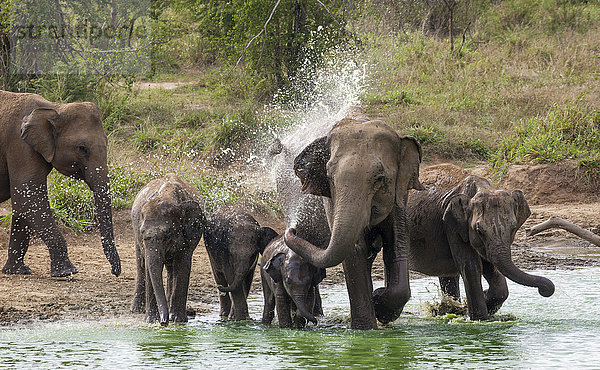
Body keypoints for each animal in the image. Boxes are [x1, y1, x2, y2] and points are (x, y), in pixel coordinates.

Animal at [0, 90, 120, 278]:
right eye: (82, 148)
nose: (115, 272)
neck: (54, 108)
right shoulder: (20, 145)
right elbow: (29, 197)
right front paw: (67, 272)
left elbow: (22, 203)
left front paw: (17, 271)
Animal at [131, 174, 206, 326]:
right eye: (142, 232)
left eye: (168, 234)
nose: (163, 322)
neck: (167, 195)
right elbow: (149, 268)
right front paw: (151, 320)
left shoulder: (190, 234)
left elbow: (183, 265)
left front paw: (178, 320)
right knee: (141, 265)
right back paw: (136, 310)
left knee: (172, 269)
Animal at [282, 118, 422, 330]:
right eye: (329, 177)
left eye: (380, 179)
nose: (292, 229)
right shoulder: (331, 200)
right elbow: (354, 251)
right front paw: (366, 329)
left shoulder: (400, 196)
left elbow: (397, 245)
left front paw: (379, 302)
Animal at [406, 175, 556, 320]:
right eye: (479, 231)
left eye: (513, 228)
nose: (544, 290)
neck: (483, 188)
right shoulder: (454, 228)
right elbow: (471, 266)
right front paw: (480, 318)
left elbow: (490, 266)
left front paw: (483, 300)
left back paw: (448, 311)